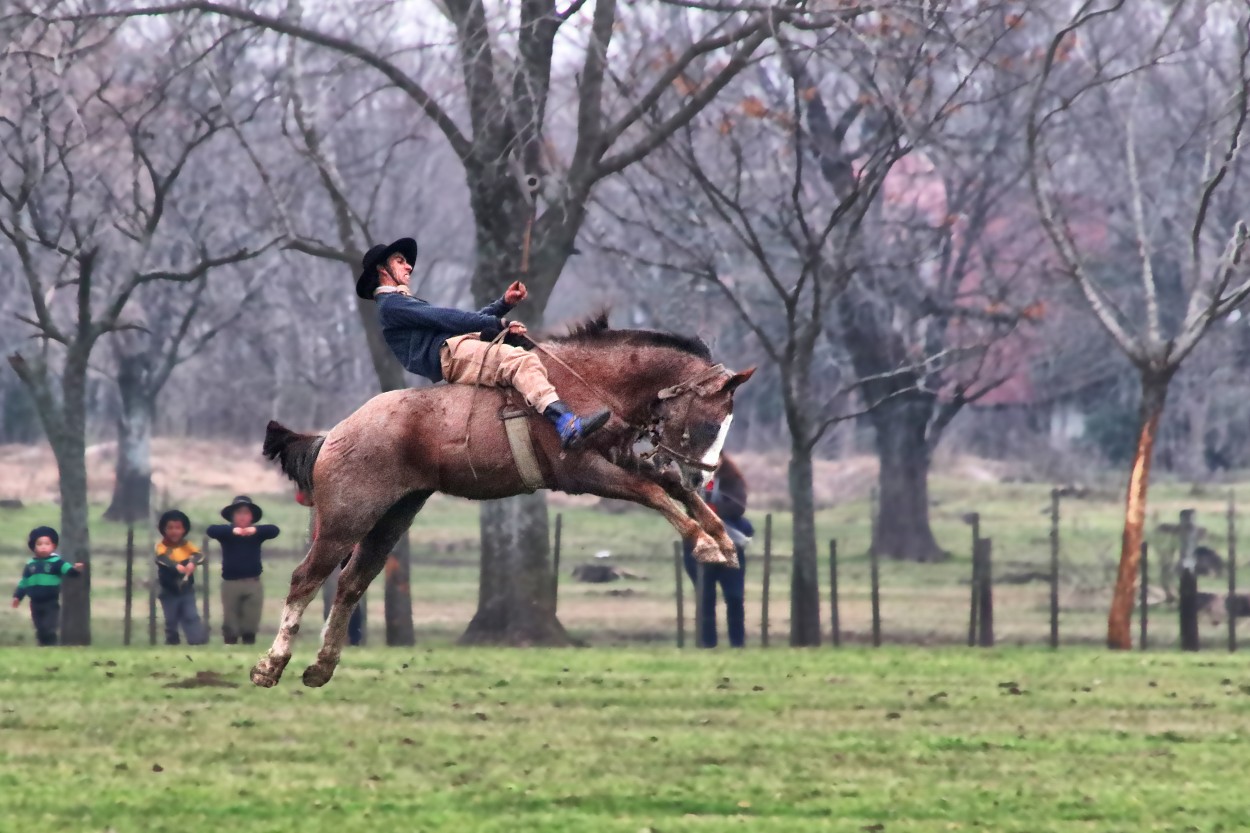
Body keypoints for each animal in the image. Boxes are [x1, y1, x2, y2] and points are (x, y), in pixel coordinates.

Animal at [253, 315, 750, 685]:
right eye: (711, 422)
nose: (703, 472)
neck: (591, 384)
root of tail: (334, 434)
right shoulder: (582, 472)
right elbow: (654, 492)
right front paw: (705, 544)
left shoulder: (624, 458)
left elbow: (671, 487)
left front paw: (722, 540)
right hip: (345, 521)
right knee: (305, 578)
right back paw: (270, 666)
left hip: (391, 520)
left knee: (351, 583)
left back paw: (321, 667)